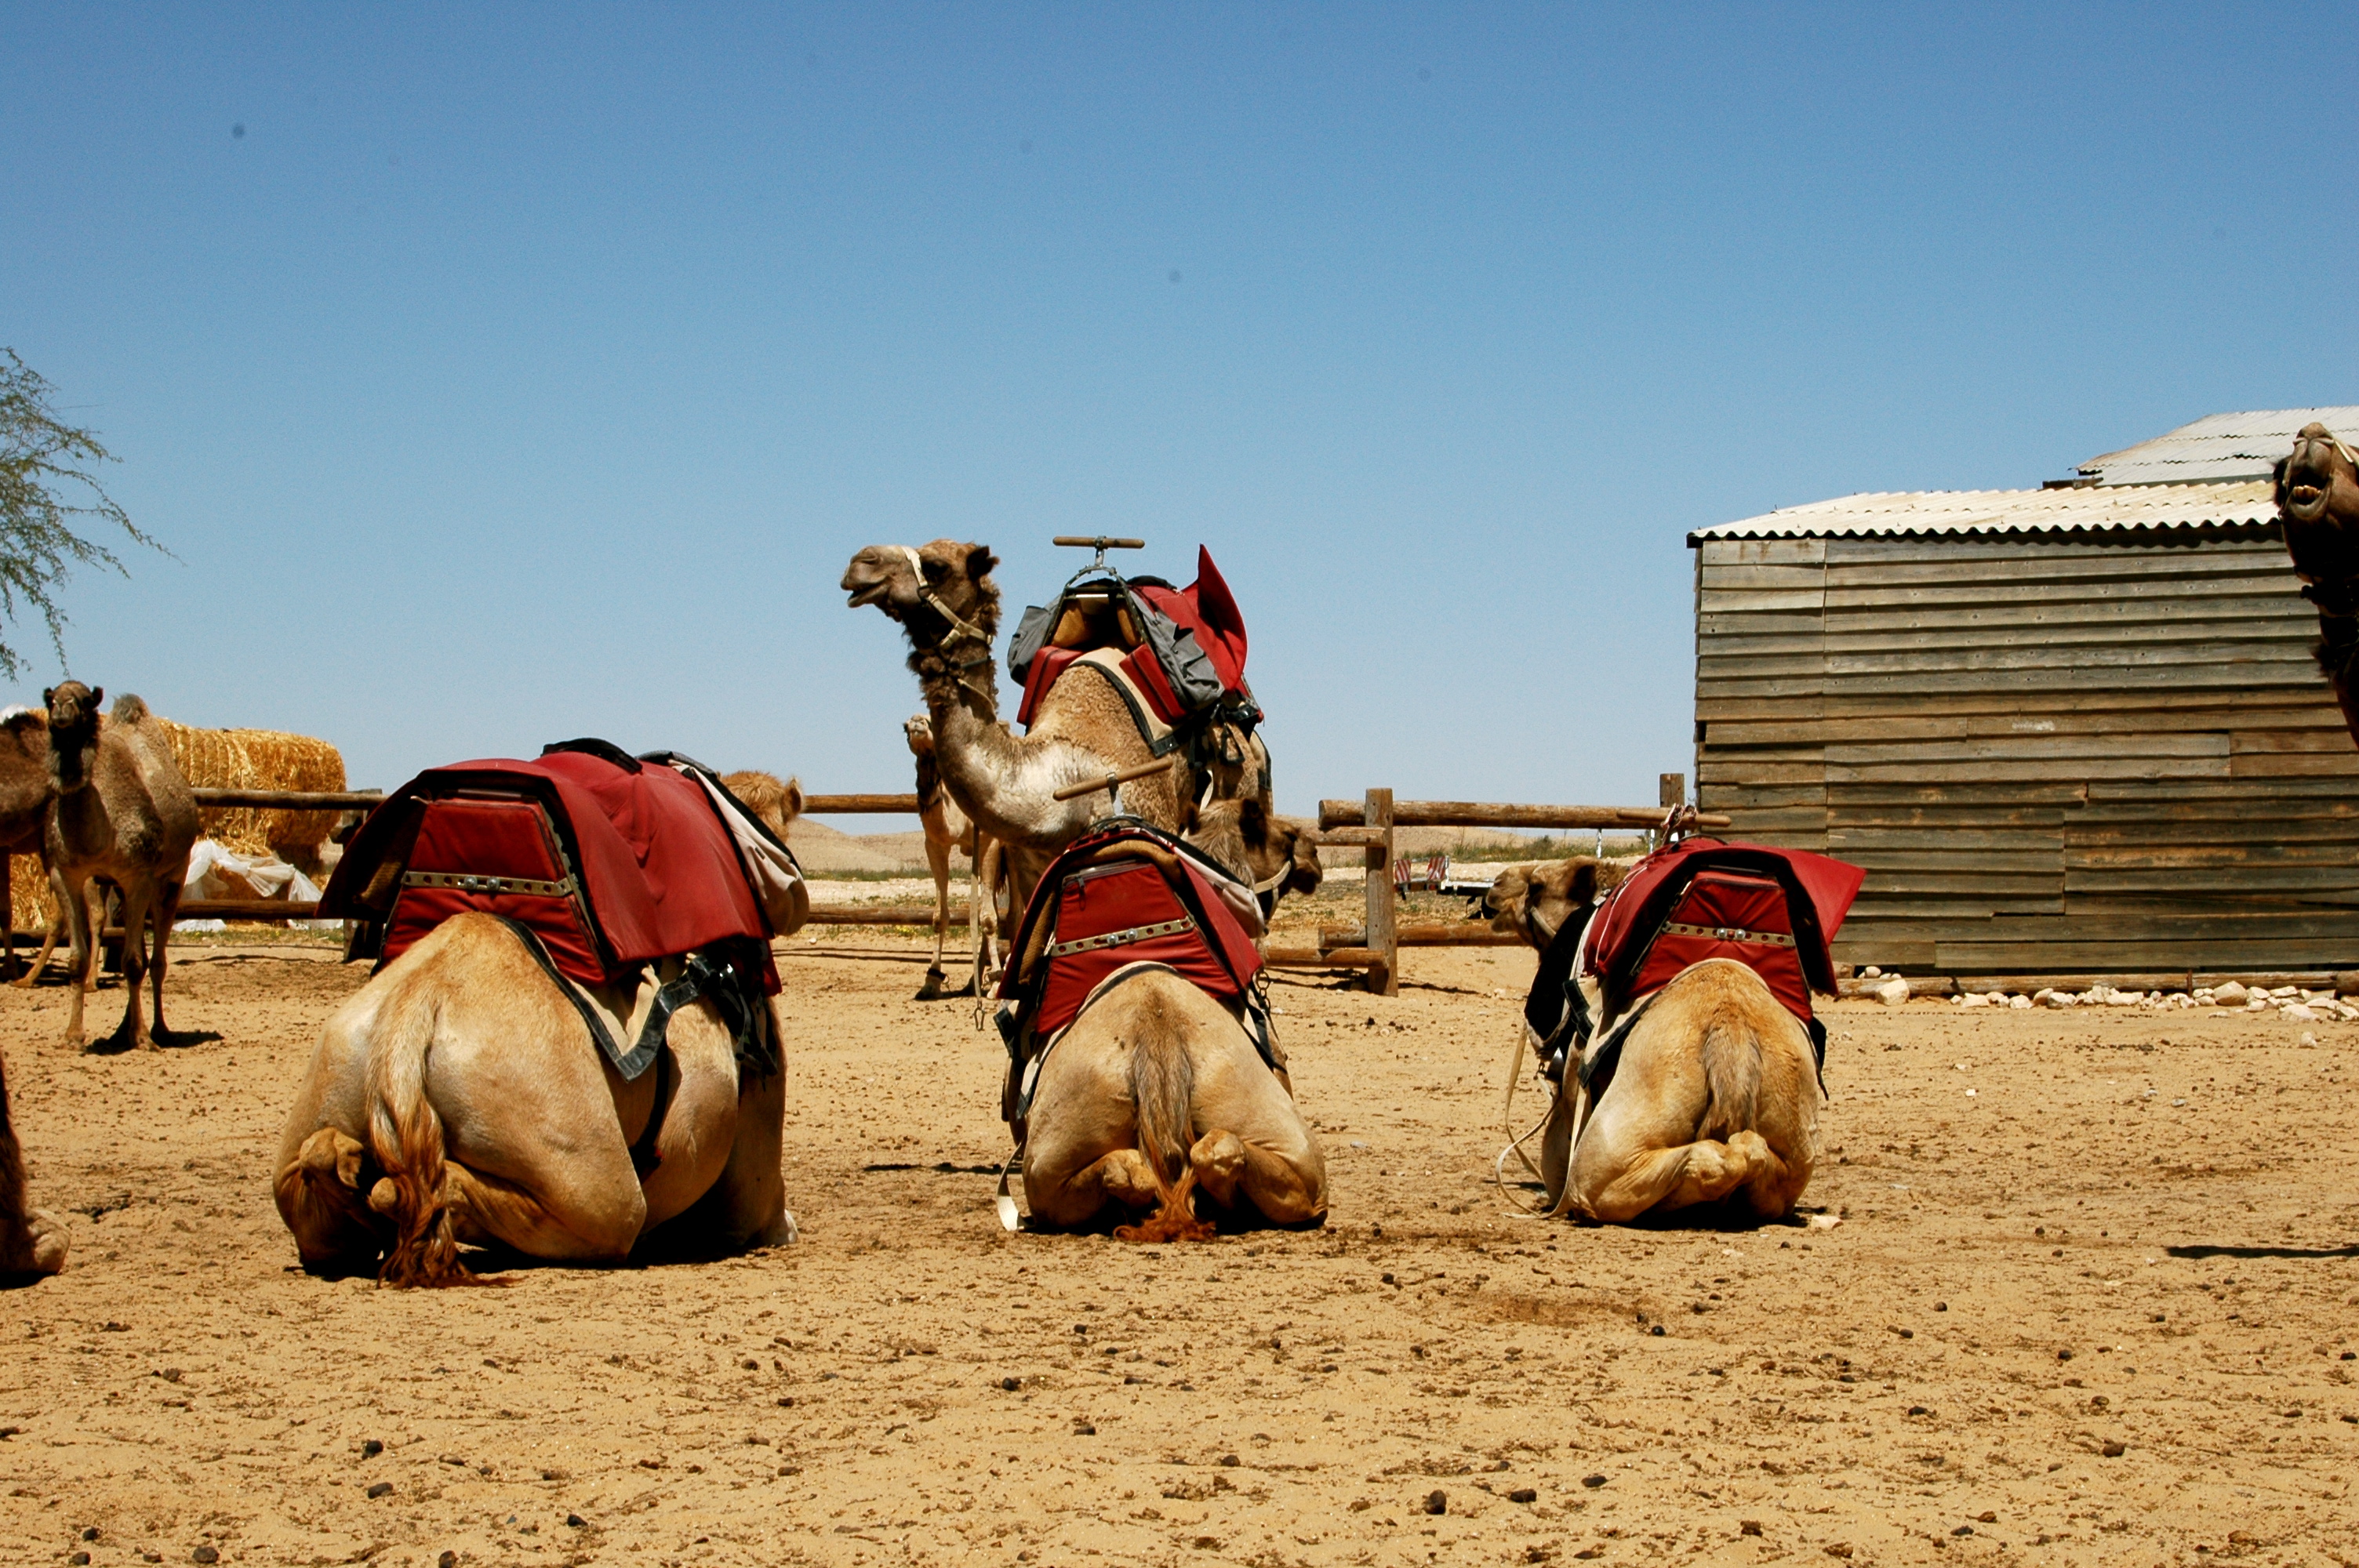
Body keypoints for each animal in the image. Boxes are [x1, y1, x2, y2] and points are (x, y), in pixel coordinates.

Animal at [42, 685, 198, 1051]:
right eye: (51, 698)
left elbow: (134, 962)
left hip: (172, 877)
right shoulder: (68, 874)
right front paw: (73, 1035)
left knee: (155, 960)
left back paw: (157, 1029)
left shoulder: (139, 875)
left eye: (86, 701)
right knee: (137, 950)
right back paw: (122, 1029)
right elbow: (77, 959)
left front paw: (142, 1037)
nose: (62, 712)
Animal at [273, 912, 793, 1285]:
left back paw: (350, 1171)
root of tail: (416, 1001)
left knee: (325, 1192)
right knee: (602, 1217)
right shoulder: (750, 1199)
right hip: (595, 1181)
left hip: (338, 1058)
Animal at [1017, 798, 1327, 1239]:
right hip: (1297, 1150)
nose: (1314, 857)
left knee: (1143, 1167)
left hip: (1045, 1172)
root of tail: (1155, 1030)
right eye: (1286, 836)